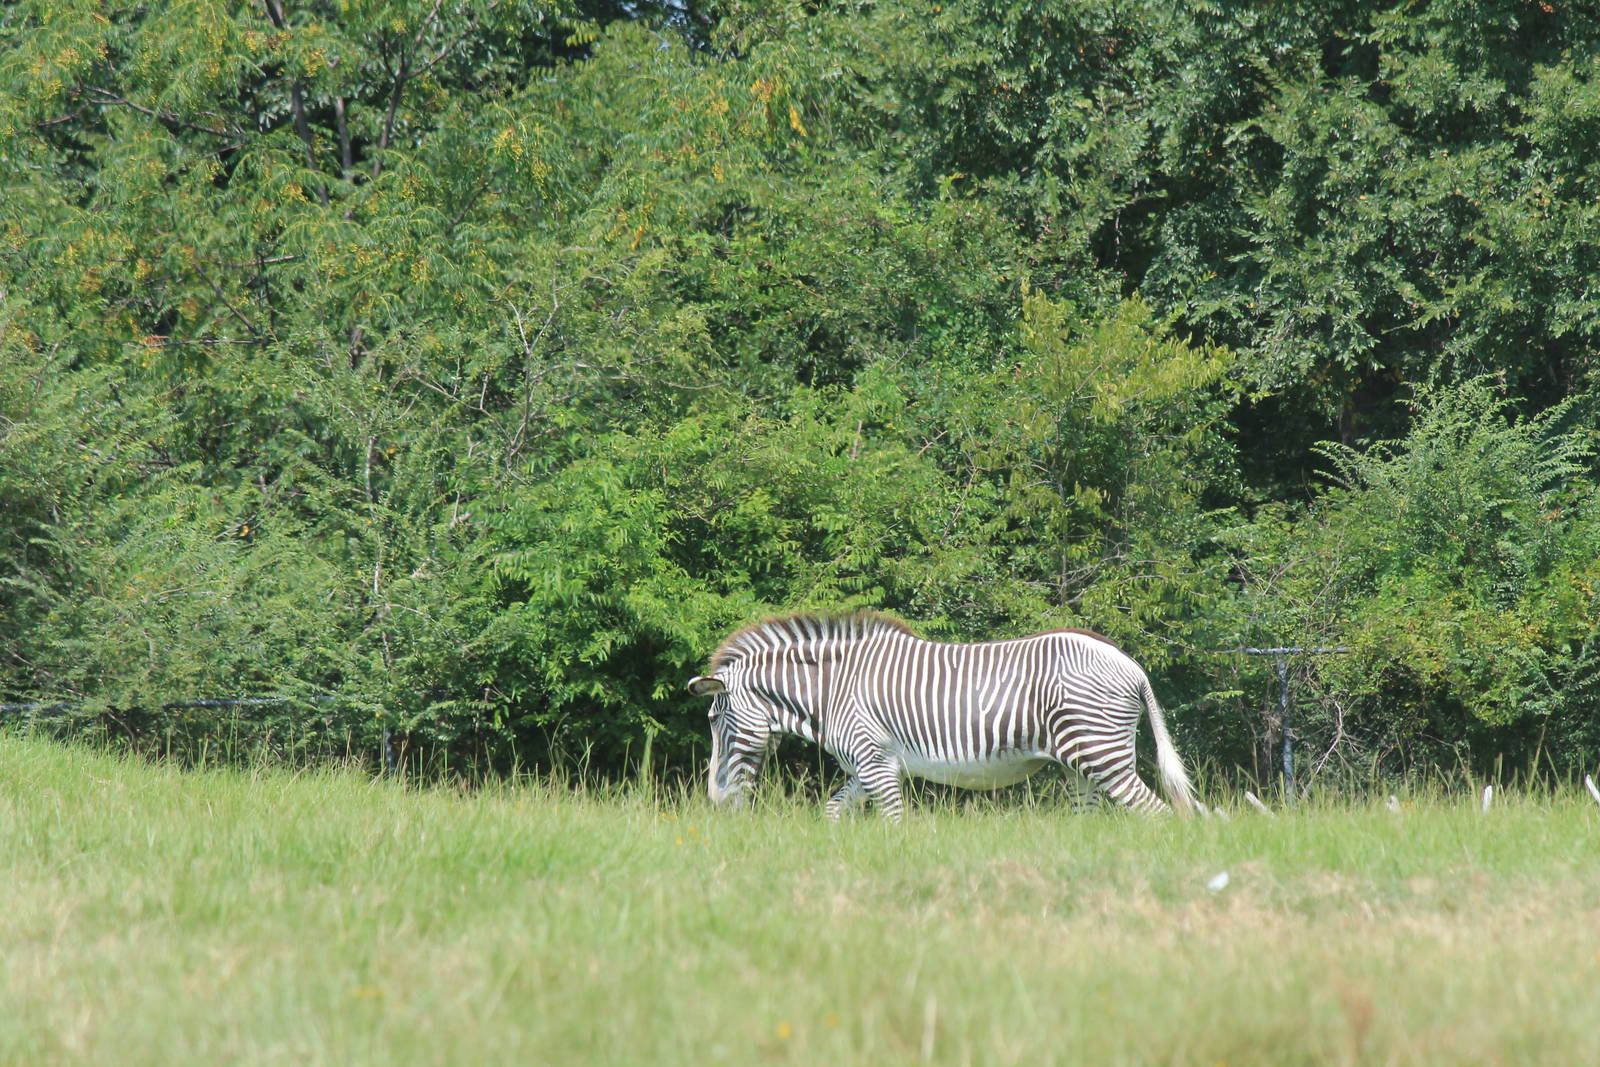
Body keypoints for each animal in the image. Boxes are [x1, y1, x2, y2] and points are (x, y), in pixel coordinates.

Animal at [687, 611, 1199, 820]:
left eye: (714, 719)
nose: (715, 800)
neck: (831, 692)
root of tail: (1132, 665)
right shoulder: (869, 766)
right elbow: (833, 810)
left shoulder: (875, 762)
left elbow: (895, 822)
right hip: (1082, 766)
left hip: (1102, 754)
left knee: (1159, 814)